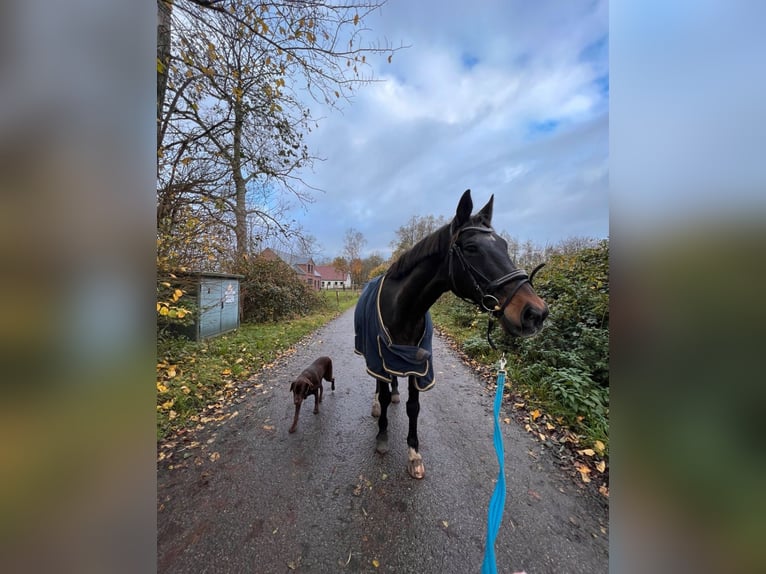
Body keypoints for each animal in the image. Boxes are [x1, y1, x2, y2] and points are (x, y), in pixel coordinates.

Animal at [356, 191, 548, 480]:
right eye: (471, 248)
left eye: (504, 245)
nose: (535, 313)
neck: (403, 311)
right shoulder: (380, 358)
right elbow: (383, 393)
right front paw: (382, 437)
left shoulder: (419, 364)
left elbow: (413, 407)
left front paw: (414, 453)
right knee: (379, 386)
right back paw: (378, 404)